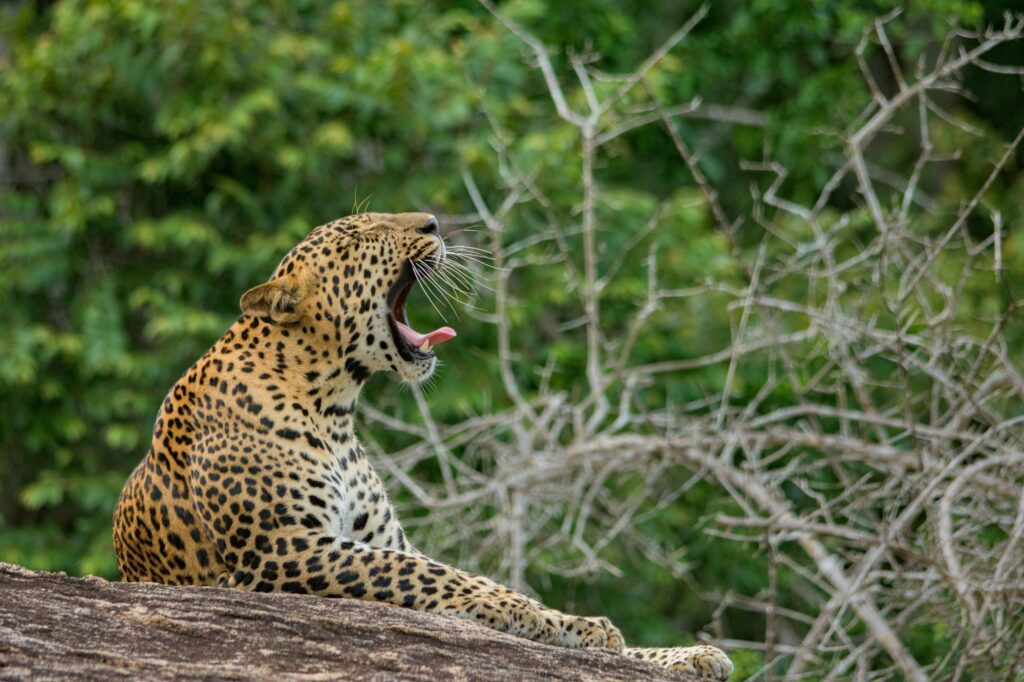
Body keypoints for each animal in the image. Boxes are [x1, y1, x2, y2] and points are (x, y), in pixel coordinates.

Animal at [112, 209, 733, 675]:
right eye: (358, 237)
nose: (434, 222)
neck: (334, 409)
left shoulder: (379, 540)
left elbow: (433, 568)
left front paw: (645, 644)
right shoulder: (281, 549)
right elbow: (433, 574)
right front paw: (522, 610)